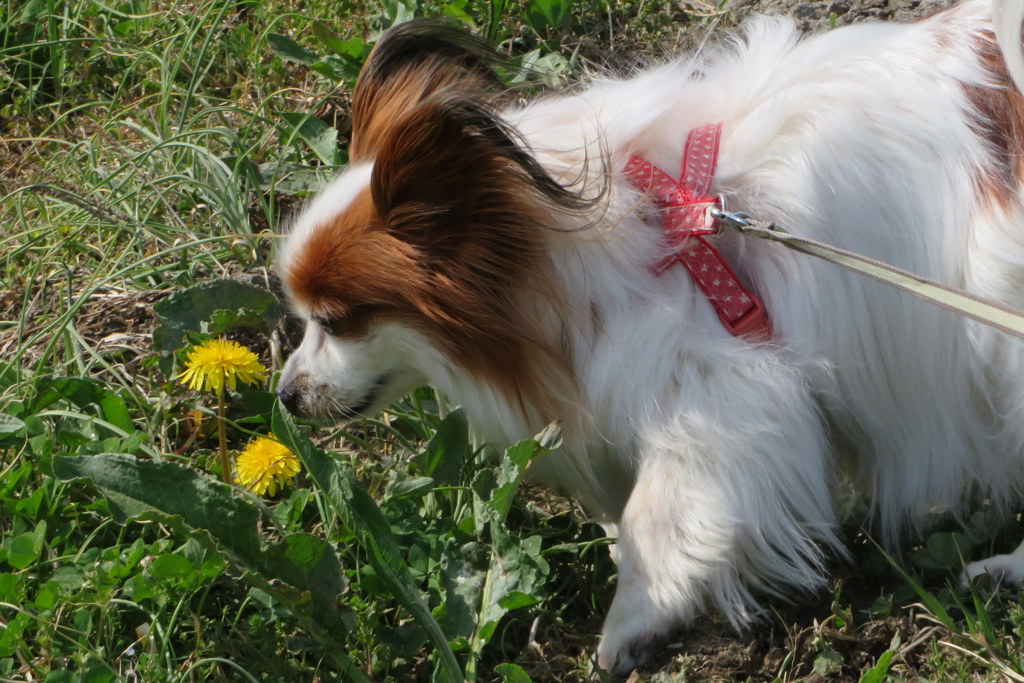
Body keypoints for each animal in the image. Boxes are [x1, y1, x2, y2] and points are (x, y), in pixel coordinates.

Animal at [274, 0, 1024, 671]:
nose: (284, 396)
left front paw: (631, 625)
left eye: (337, 319)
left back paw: (1000, 568)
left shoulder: (719, 393)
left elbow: (652, 516)